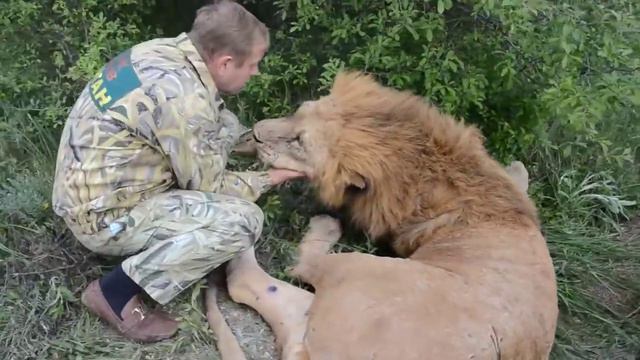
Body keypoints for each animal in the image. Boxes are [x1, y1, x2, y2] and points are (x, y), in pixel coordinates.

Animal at [212, 71, 556, 360]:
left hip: (364, 271)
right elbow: (519, 171)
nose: (255, 133)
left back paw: (318, 224)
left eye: (300, 142)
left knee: (284, 271)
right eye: (297, 110)